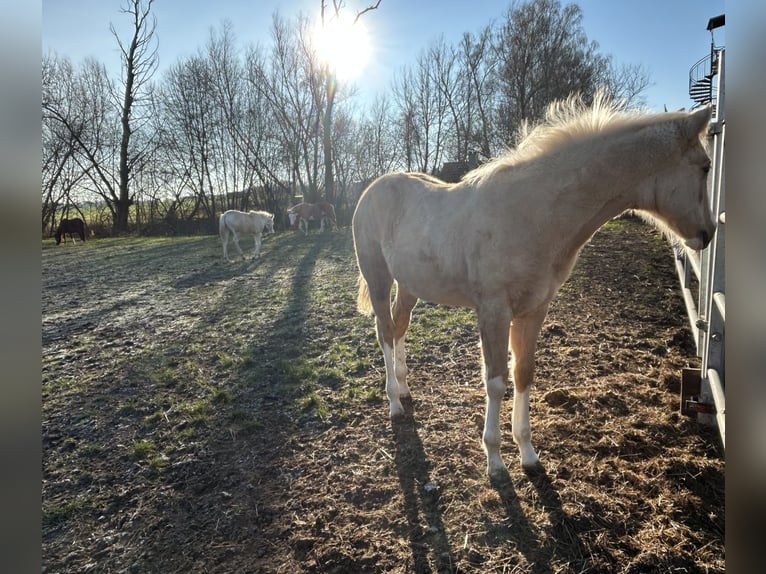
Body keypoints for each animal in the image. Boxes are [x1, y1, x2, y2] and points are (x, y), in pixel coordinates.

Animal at [352, 94, 715, 479]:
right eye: (706, 166)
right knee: (385, 331)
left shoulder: (534, 309)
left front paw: (527, 453)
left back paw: (405, 388)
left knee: (399, 326)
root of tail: (371, 189)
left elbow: (523, 374)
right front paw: (495, 460)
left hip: (409, 286)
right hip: (379, 278)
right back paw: (394, 401)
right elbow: (496, 381)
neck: (532, 213)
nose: (707, 233)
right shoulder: (494, 311)